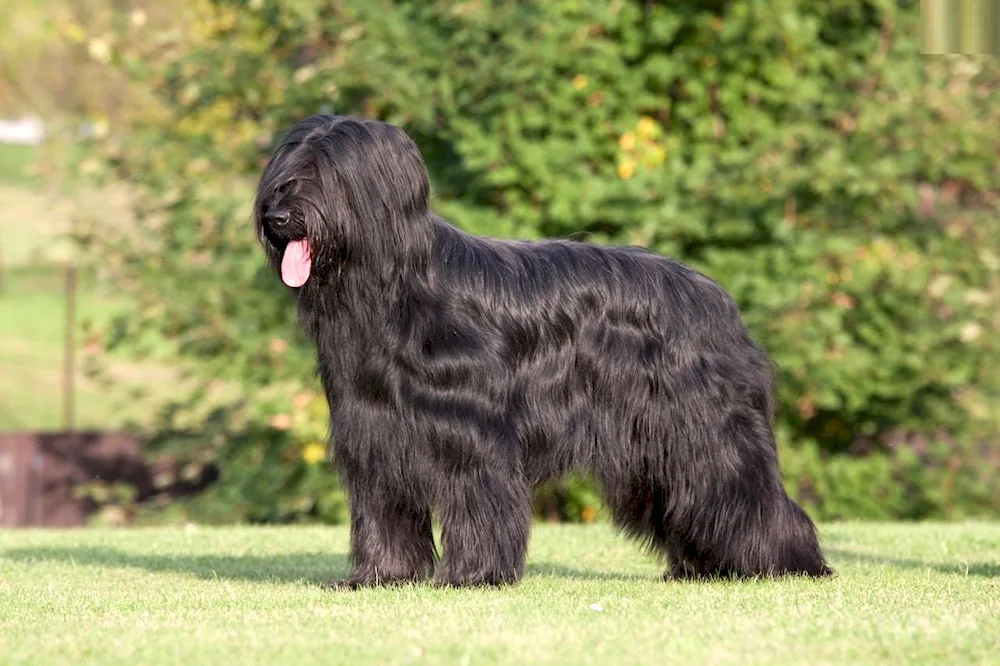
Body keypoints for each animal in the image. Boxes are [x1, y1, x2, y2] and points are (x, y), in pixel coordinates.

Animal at [254, 113, 832, 588]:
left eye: (325, 170)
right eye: (284, 167)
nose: (277, 216)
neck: (397, 292)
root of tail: (717, 298)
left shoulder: (473, 434)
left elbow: (480, 501)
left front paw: (474, 575)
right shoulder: (375, 434)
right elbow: (384, 510)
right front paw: (381, 576)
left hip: (706, 429)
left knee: (744, 490)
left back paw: (788, 564)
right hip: (655, 449)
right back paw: (706, 568)